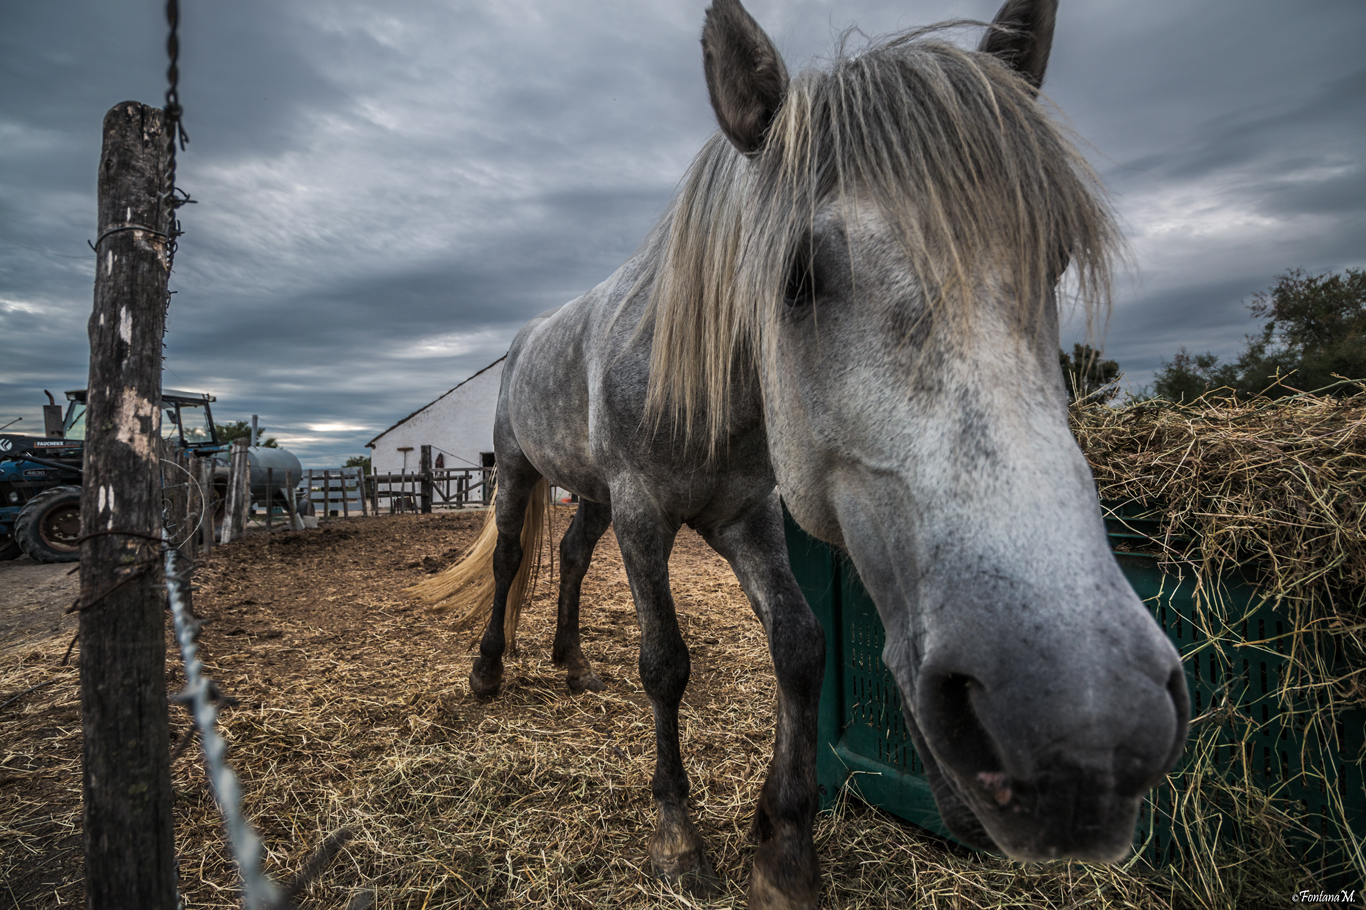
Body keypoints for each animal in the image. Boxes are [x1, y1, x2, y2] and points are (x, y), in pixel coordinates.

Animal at [414, 1, 1188, 906]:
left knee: (570, 554)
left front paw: (783, 847)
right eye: (794, 276)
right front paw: (678, 837)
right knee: (509, 558)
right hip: (521, 472)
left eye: (1054, 255)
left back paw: (572, 664)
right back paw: (488, 673)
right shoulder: (644, 514)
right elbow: (665, 663)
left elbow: (800, 646)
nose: (1088, 727)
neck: (701, 389)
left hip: (592, 493)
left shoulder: (747, 517)